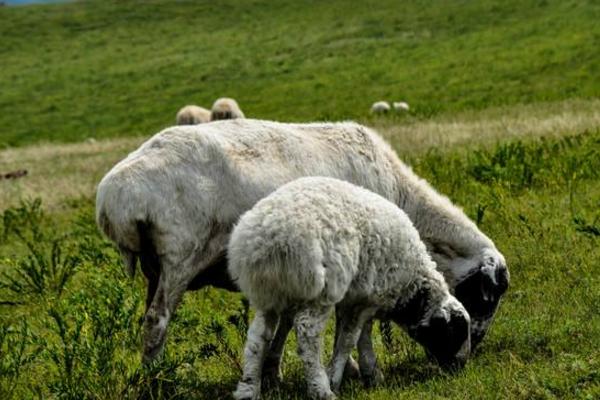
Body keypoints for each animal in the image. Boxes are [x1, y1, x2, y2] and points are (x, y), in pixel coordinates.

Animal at [96, 117, 508, 364]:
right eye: (488, 295)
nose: (477, 343)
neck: (404, 196)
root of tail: (112, 197)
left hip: (155, 270)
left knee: (148, 321)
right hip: (180, 259)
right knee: (157, 322)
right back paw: (156, 381)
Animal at [229, 178, 468, 400]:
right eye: (455, 332)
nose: (460, 367)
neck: (411, 285)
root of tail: (271, 239)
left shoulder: (362, 296)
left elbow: (361, 335)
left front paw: (370, 373)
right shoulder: (366, 299)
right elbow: (348, 340)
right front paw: (336, 378)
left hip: (268, 293)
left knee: (258, 336)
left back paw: (248, 389)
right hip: (320, 291)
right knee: (307, 334)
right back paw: (321, 389)